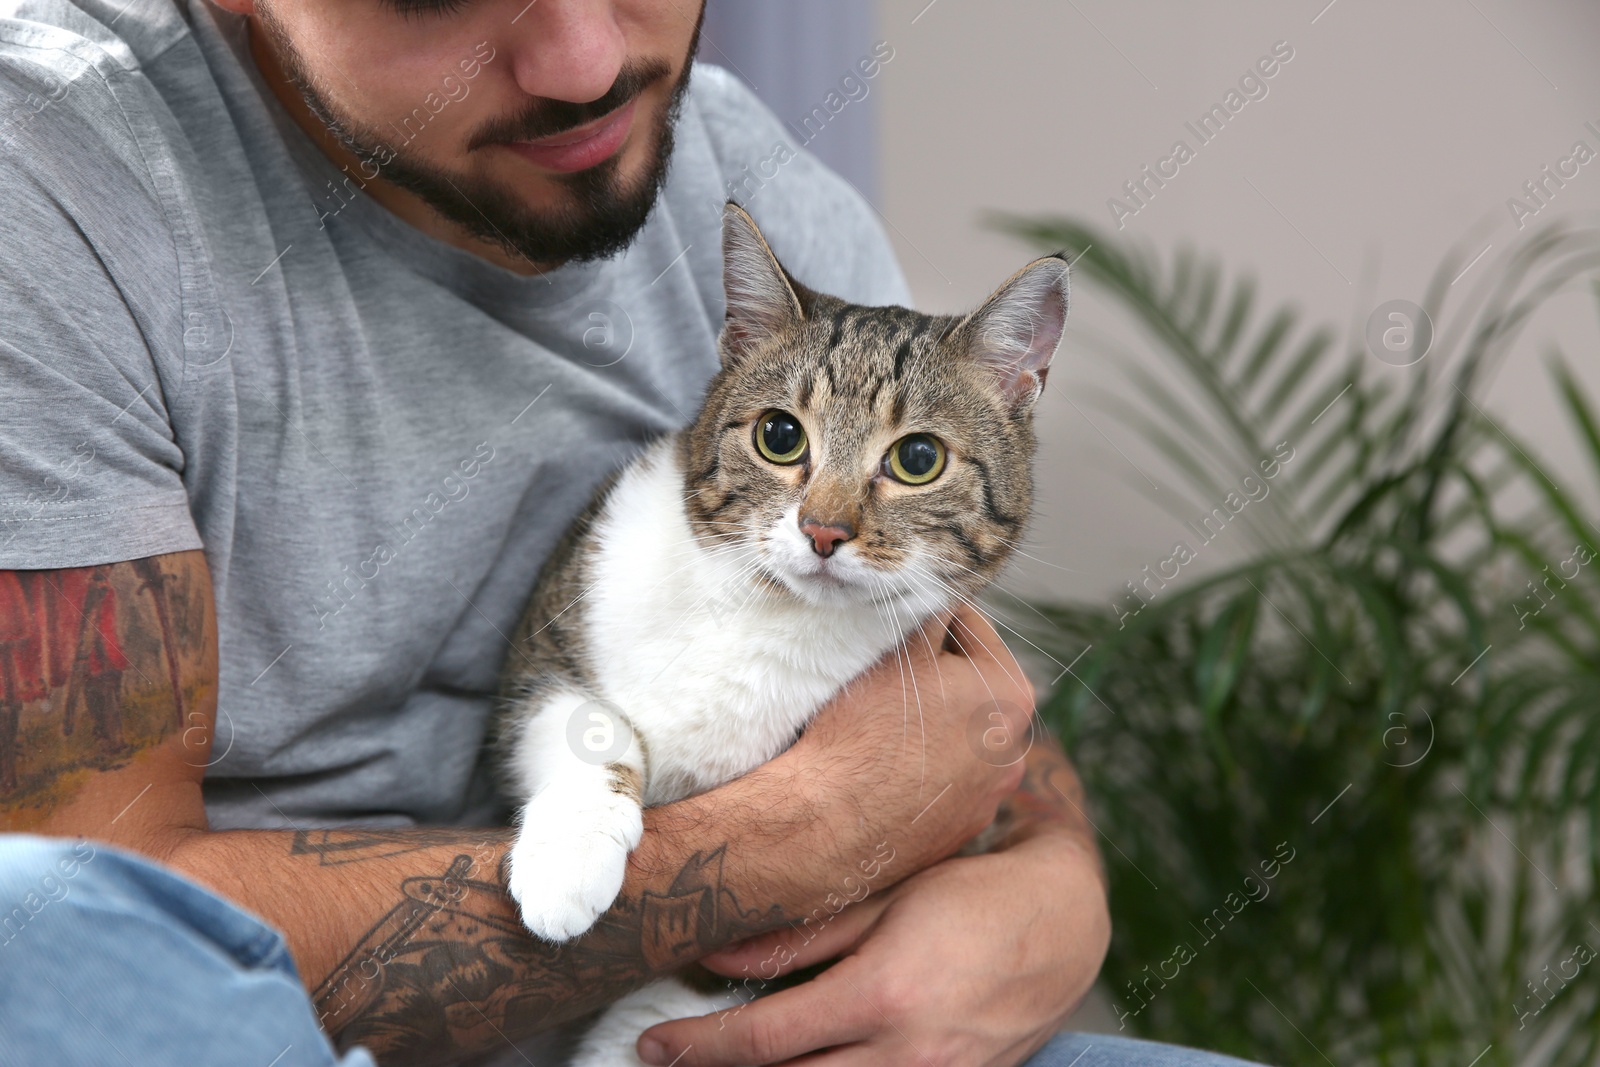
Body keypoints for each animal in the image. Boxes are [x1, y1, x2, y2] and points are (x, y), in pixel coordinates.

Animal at [489, 204, 1062, 1062]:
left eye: (918, 456)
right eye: (780, 435)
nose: (823, 530)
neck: (761, 610)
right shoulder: (550, 631)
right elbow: (581, 720)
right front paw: (570, 851)